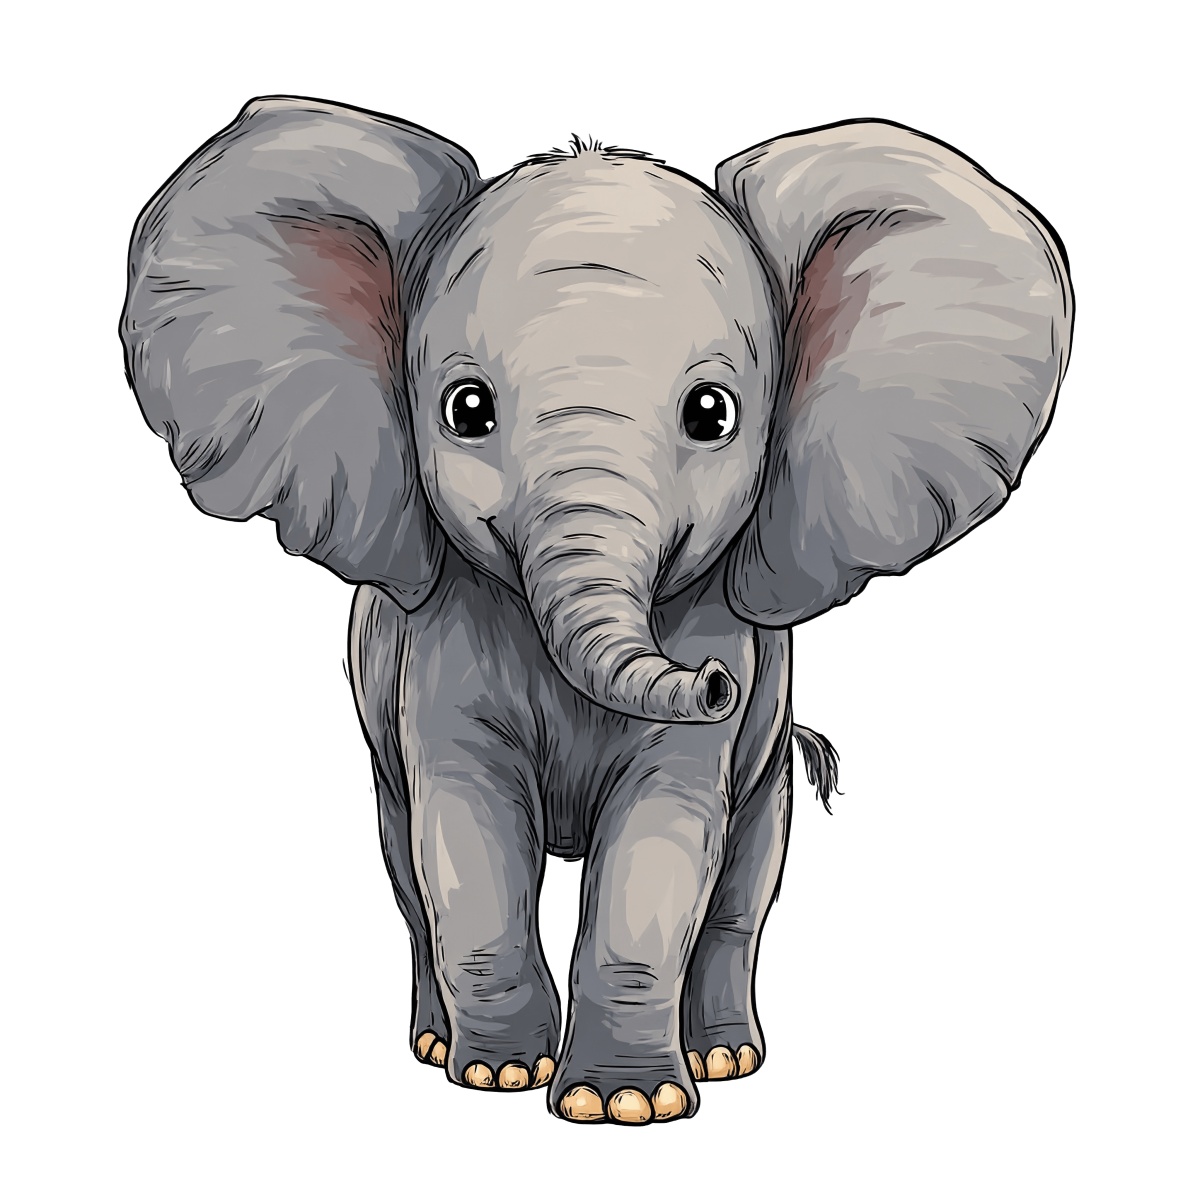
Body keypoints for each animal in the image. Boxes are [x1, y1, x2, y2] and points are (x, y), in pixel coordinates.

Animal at [120, 96, 1072, 1125]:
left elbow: (664, 841)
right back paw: (434, 1046)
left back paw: (727, 1058)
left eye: (712, 413)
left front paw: (621, 1107)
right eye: (466, 410)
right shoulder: (443, 643)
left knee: (743, 886)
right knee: (406, 869)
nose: (713, 684)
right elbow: (467, 833)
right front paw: (502, 1077)